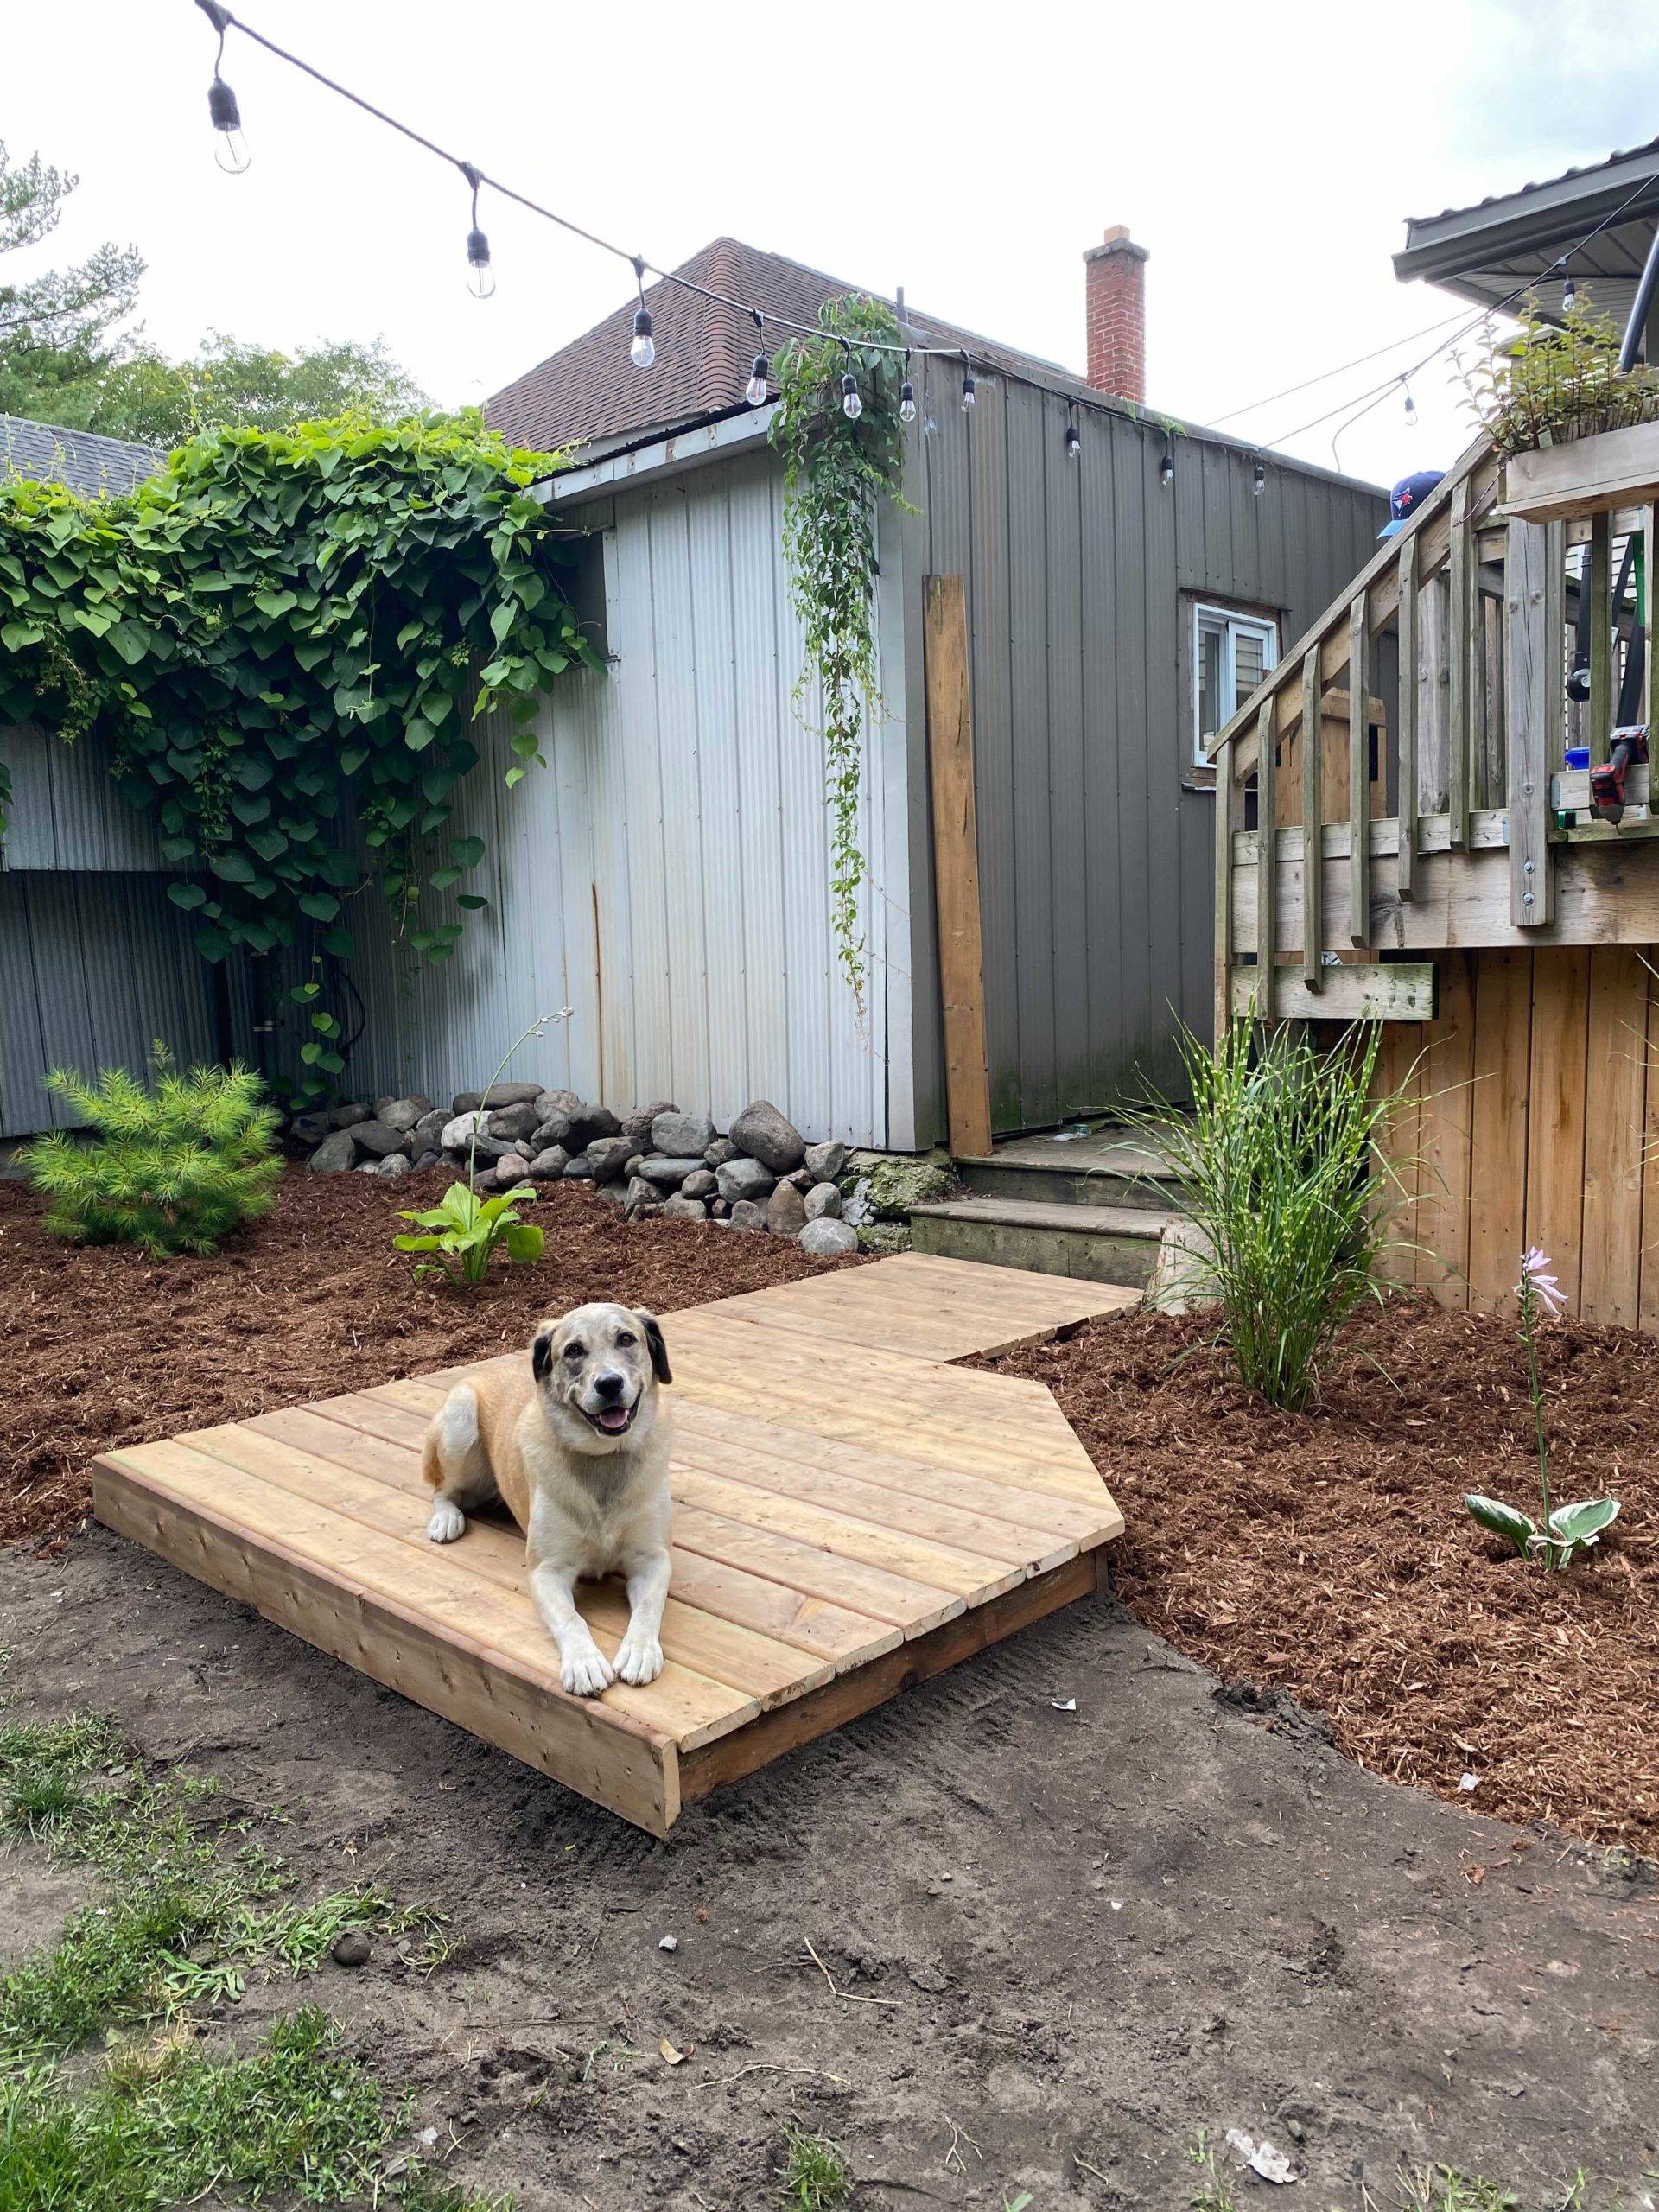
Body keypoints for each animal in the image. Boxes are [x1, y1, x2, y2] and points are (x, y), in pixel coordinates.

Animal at [422, 1300, 677, 1699]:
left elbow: (649, 1607)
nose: (609, 1384)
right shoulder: (547, 1571)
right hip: (460, 1420)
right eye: (573, 1350)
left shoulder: (652, 1559)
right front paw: (584, 1663)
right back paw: (446, 1519)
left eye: (626, 1339)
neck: (603, 1460)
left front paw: (639, 1651)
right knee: (443, 1491)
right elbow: (571, 1619)